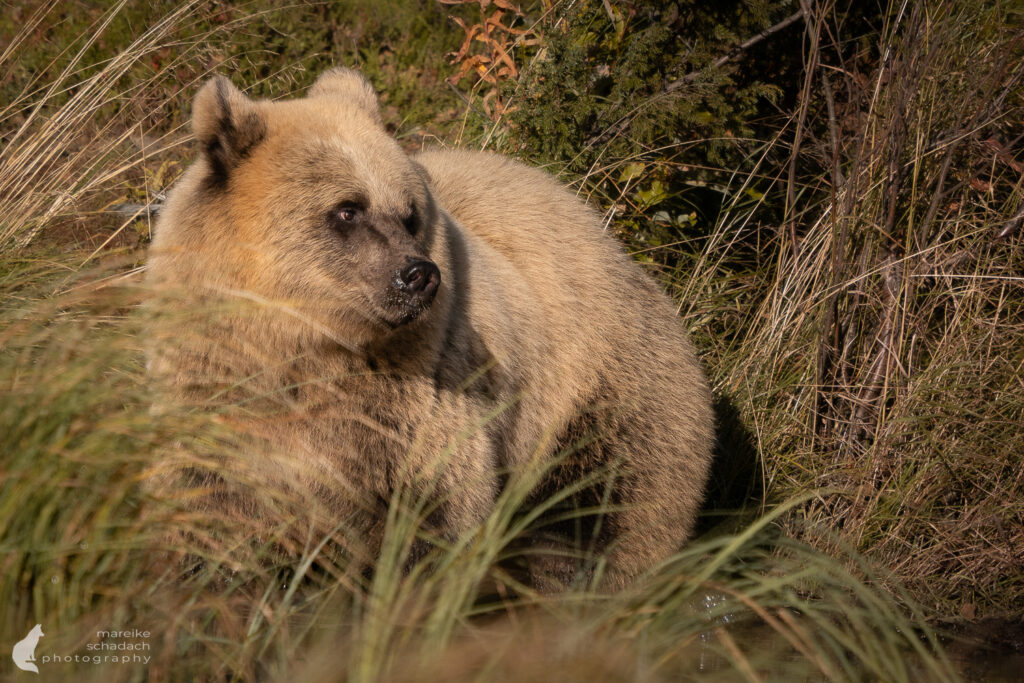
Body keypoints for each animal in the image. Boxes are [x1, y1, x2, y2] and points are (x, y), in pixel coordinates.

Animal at [145, 67, 714, 591]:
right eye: (347, 209)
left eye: (409, 214)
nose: (419, 275)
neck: (299, 349)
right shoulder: (215, 393)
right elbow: (207, 506)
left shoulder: (412, 400)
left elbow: (433, 509)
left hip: (600, 399)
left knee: (596, 516)